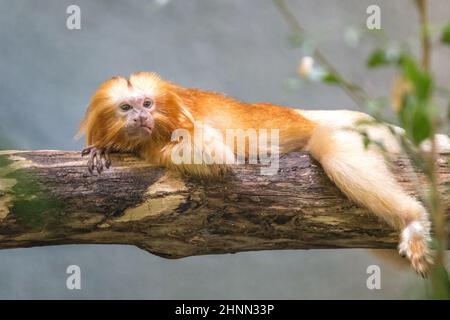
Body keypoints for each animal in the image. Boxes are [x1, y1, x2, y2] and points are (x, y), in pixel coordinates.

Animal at [78, 71, 442, 276]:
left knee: (335, 152)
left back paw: (411, 219)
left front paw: (119, 148)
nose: (140, 118)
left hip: (362, 133)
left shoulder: (188, 123)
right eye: (126, 107)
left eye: (147, 104)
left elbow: (212, 152)